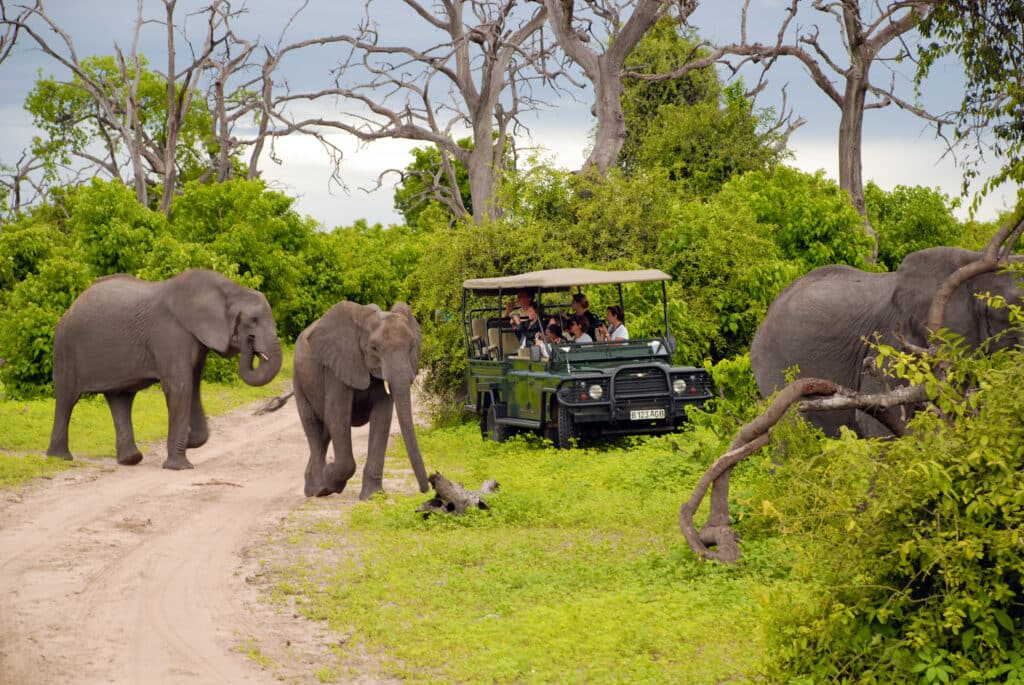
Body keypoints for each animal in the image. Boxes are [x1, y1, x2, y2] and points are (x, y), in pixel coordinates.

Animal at [46, 270, 282, 466]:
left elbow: (193, 386)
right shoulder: (170, 333)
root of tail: (71, 306)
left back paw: (130, 460)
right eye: (252, 321)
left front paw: (189, 441)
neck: (230, 289)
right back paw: (60, 458)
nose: (250, 342)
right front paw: (179, 466)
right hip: (66, 347)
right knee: (67, 398)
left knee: (120, 398)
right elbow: (180, 387)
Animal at [294, 298, 430, 497]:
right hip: (299, 380)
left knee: (325, 431)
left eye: (412, 347)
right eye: (374, 348)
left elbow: (382, 416)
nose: (425, 489)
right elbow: (338, 415)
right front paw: (331, 478)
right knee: (313, 426)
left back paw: (311, 488)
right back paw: (321, 489)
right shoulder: (337, 366)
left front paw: (372, 495)